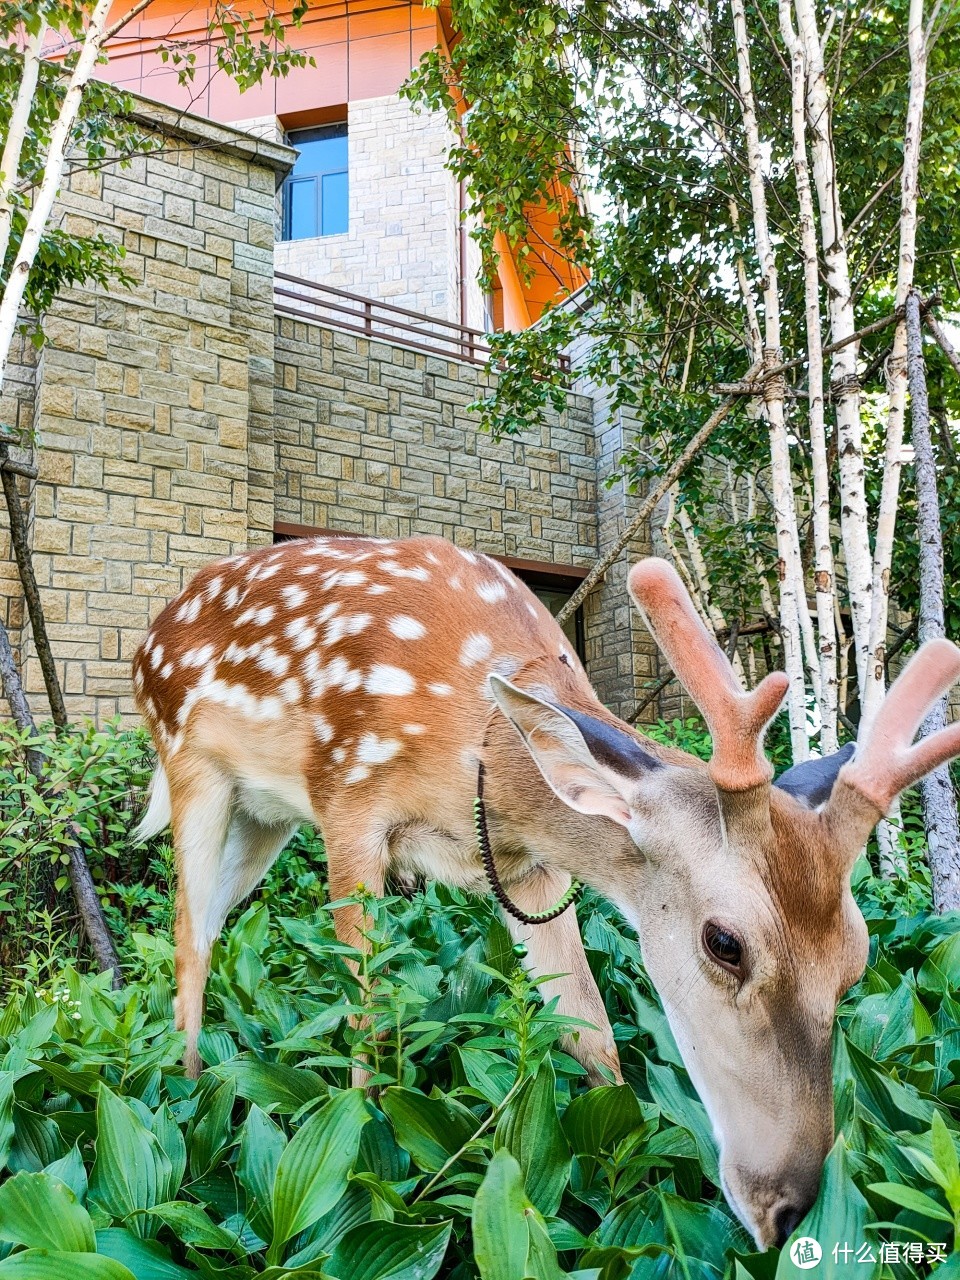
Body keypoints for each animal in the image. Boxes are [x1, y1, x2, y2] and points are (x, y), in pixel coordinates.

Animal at [133, 532, 960, 1249]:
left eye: (856, 959)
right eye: (725, 942)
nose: (789, 1209)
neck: (485, 756)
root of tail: (148, 640)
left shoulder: (530, 870)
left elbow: (591, 1030)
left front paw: (626, 1174)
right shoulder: (348, 802)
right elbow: (366, 1018)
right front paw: (361, 1152)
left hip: (264, 816)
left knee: (208, 930)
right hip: (193, 768)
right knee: (188, 943)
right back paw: (187, 1096)